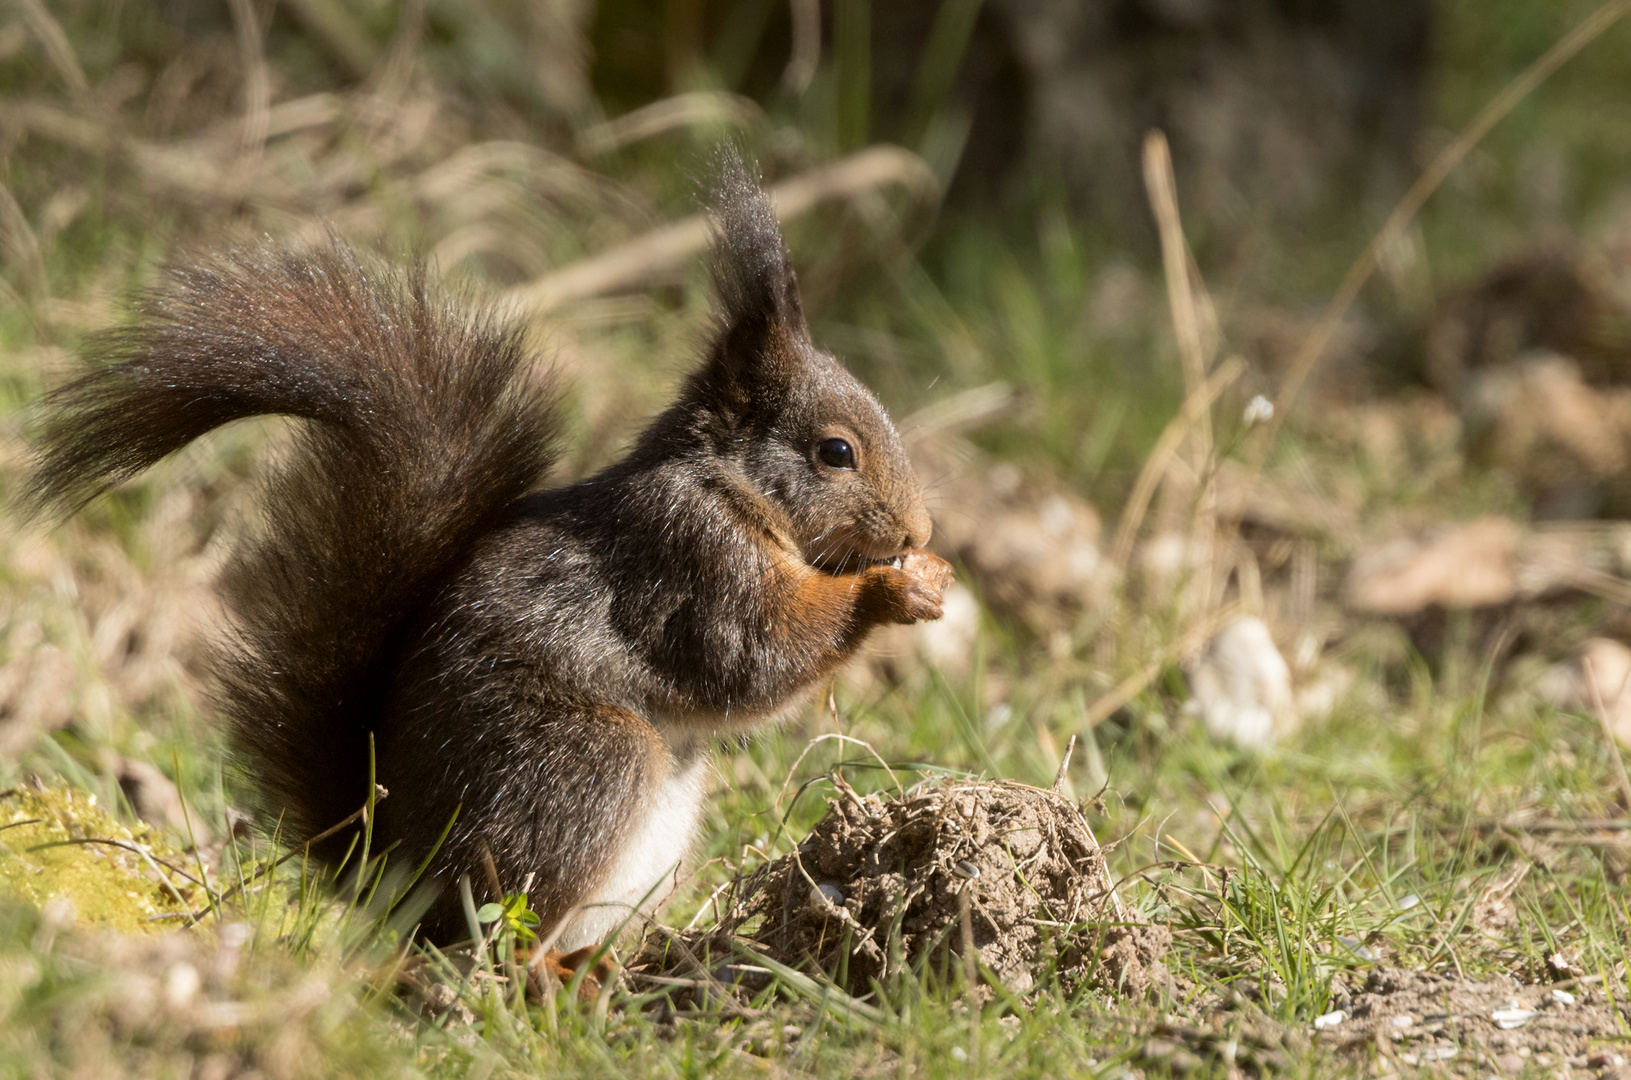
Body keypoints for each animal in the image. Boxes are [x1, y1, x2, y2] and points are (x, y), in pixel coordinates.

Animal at [22, 156, 952, 952]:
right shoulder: (689, 560)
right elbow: (754, 655)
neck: (727, 485)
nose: (917, 535)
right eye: (835, 452)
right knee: (500, 934)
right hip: (583, 767)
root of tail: (392, 877)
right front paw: (889, 593)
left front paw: (928, 579)